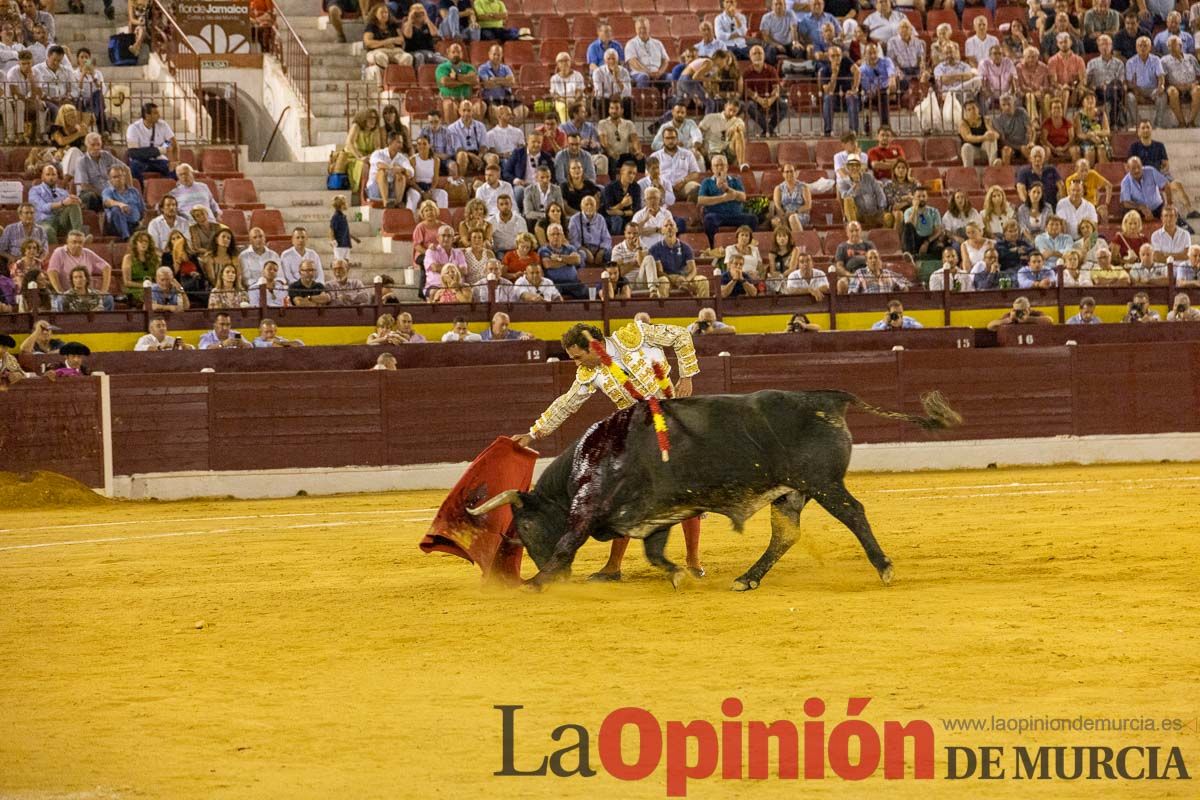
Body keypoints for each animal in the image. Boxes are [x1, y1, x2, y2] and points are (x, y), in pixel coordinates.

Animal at [463, 391, 960, 592]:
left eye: (525, 528)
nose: (555, 576)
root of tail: (828, 397)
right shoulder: (656, 514)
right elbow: (654, 552)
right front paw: (679, 575)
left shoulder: (588, 509)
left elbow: (569, 541)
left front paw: (534, 583)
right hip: (790, 492)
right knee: (785, 535)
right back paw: (747, 578)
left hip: (822, 483)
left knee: (854, 513)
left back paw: (884, 568)